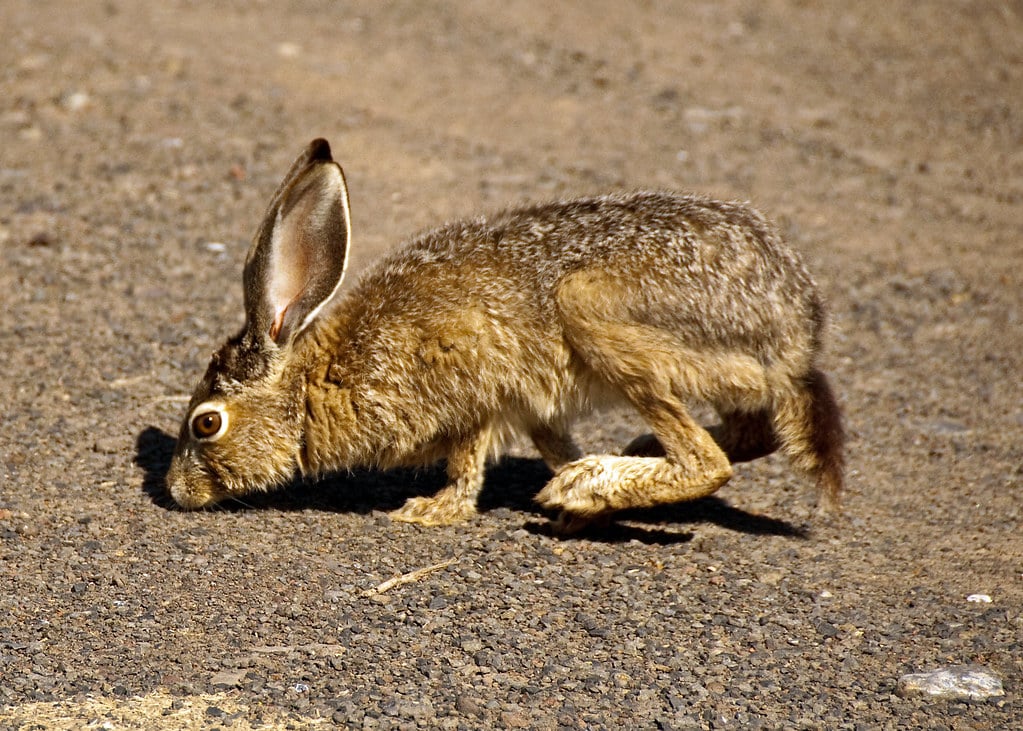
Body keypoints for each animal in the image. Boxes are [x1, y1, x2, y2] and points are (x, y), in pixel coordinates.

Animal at [166, 138, 844, 532]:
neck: (312, 383)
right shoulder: (535, 408)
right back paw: (615, 467)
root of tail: (795, 329)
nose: (175, 491)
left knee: (710, 460)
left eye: (207, 423)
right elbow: (552, 443)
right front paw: (574, 494)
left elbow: (466, 466)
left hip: (596, 313)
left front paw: (431, 513)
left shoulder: (472, 393)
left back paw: (595, 484)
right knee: (749, 433)